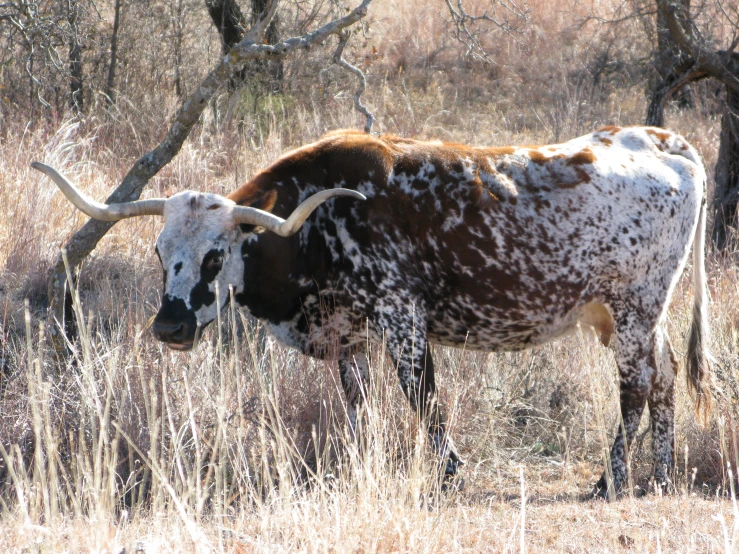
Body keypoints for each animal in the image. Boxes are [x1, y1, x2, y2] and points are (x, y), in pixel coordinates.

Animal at [33, 126, 712, 496]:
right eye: (158, 251)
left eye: (215, 255)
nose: (169, 326)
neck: (320, 220)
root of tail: (664, 141)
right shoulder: (350, 336)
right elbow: (358, 405)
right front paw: (362, 464)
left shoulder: (401, 318)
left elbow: (424, 400)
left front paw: (449, 474)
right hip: (629, 316)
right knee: (665, 379)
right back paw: (660, 475)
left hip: (634, 306)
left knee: (635, 387)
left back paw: (612, 480)